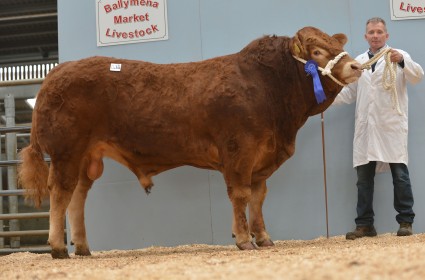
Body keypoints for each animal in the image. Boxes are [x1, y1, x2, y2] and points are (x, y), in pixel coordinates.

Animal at [18, 26, 360, 258]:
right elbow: (240, 195)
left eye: (335, 44)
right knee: (60, 193)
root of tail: (59, 70)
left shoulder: (262, 160)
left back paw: (82, 247)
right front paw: (243, 239)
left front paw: (263, 237)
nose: (356, 66)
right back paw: (58, 247)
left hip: (88, 157)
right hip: (66, 151)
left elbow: (258, 198)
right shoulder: (240, 151)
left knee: (77, 196)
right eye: (317, 52)